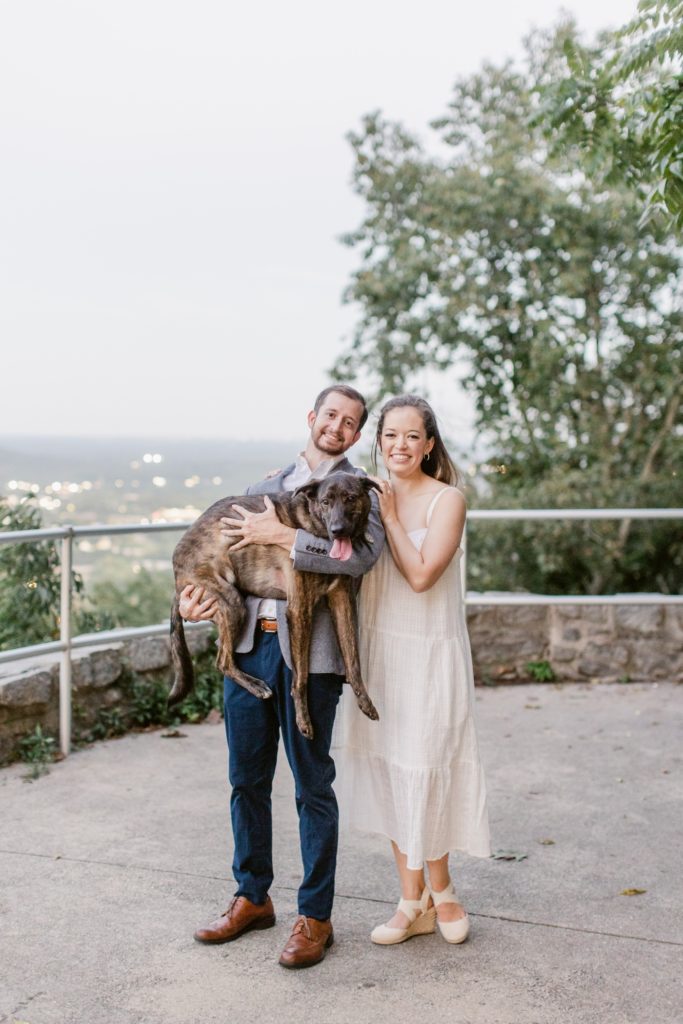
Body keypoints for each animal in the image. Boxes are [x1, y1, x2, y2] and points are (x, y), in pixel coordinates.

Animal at [165, 471, 378, 737]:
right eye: (325, 502)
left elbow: (353, 659)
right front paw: (303, 720)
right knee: (222, 661)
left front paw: (365, 701)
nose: (337, 530)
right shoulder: (299, 609)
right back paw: (255, 685)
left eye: (350, 498)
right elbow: (301, 676)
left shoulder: (342, 602)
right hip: (232, 602)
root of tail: (177, 578)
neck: (313, 525)